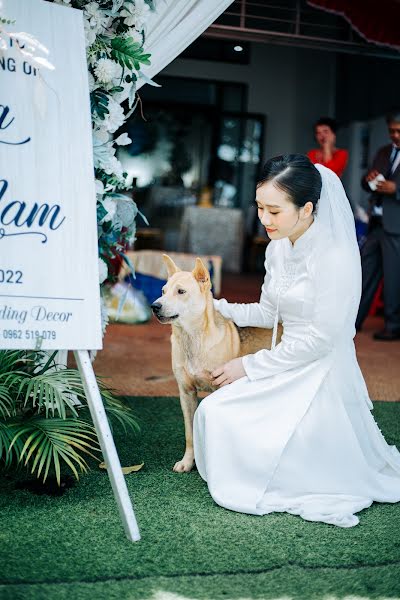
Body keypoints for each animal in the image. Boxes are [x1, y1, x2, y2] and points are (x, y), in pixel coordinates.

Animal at [152, 253, 282, 474]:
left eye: (181, 291)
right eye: (163, 291)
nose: (155, 306)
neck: (192, 338)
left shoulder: (220, 387)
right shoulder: (186, 393)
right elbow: (189, 434)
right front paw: (188, 462)